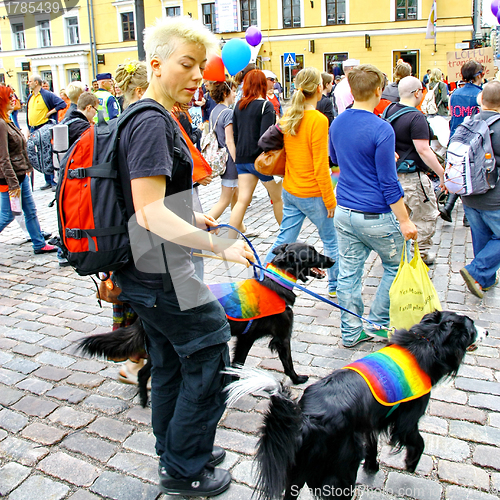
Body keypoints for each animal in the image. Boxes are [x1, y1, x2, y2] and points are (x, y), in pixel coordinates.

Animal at [78, 243, 334, 406]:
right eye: (312, 252)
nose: (332, 259)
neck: (276, 281)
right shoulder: (277, 337)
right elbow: (286, 362)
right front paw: (297, 379)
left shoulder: (248, 339)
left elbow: (238, 366)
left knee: (143, 373)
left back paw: (143, 401)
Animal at [227, 310, 488, 498]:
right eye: (472, 327)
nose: (486, 332)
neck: (428, 340)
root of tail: (307, 419)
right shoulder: (407, 420)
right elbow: (418, 441)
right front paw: (411, 463)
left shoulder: (368, 421)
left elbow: (372, 445)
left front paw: (373, 467)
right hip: (341, 473)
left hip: (297, 474)